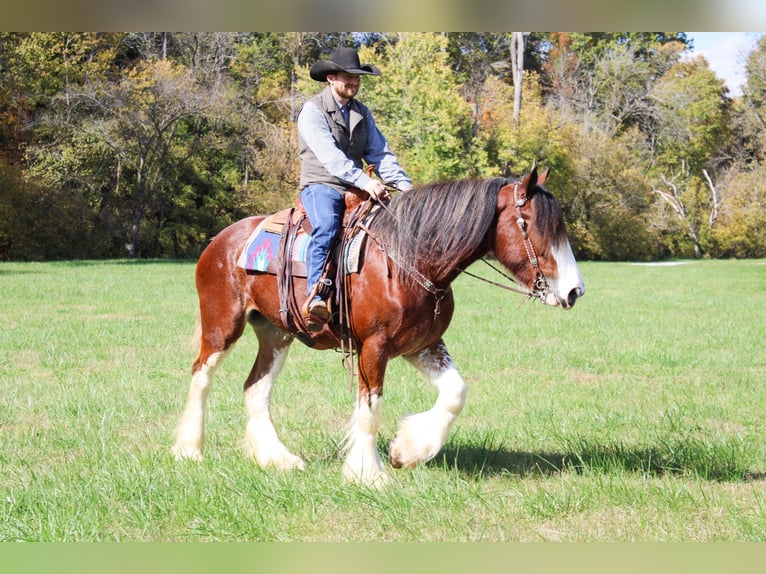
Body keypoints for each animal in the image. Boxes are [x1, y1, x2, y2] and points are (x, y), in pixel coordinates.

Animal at [172, 168, 584, 490]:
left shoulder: (423, 345)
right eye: (531, 225)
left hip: (276, 334)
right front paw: (368, 473)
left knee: (256, 389)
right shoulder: (374, 346)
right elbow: (369, 409)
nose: (574, 291)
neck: (409, 259)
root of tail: (221, 240)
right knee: (201, 376)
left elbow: (455, 394)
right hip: (222, 326)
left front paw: (407, 451)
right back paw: (189, 449)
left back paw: (278, 459)